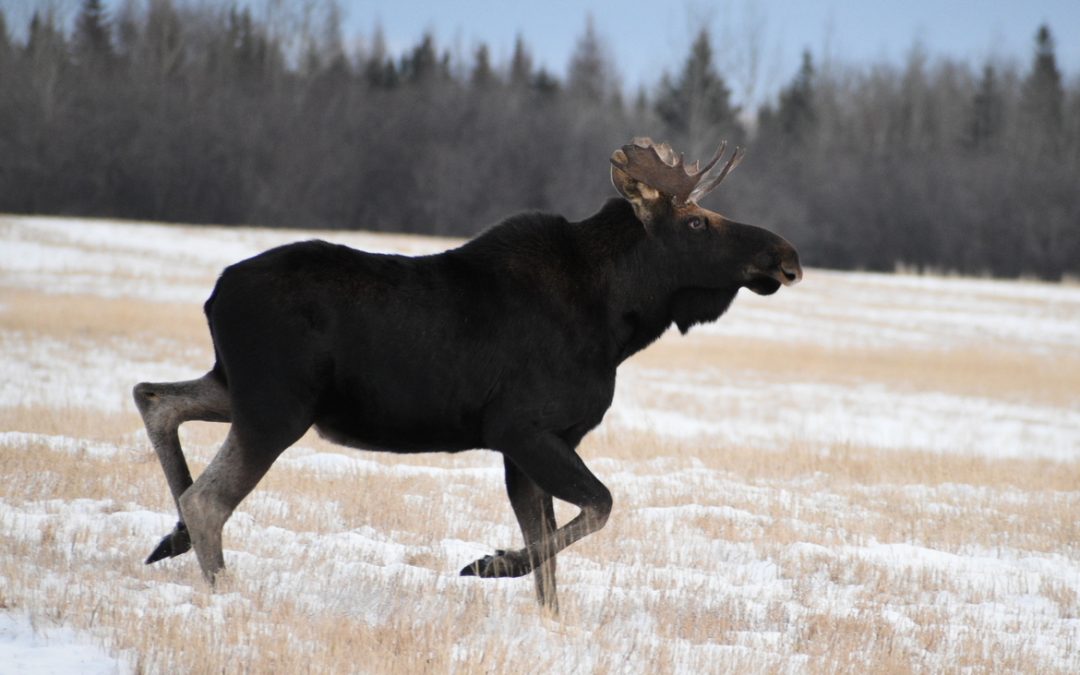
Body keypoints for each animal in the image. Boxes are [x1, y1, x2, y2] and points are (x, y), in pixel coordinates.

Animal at [133, 138, 801, 612]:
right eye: (696, 223)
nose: (786, 257)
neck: (619, 320)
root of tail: (216, 294)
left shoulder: (531, 443)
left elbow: (550, 561)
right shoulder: (522, 429)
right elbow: (595, 509)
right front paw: (487, 563)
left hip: (241, 390)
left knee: (154, 397)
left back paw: (170, 541)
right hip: (277, 406)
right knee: (206, 498)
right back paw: (225, 594)